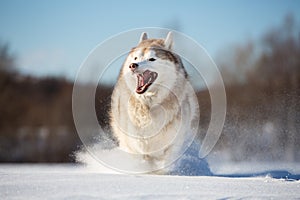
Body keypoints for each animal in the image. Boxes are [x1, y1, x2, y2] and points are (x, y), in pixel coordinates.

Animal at [110, 32, 199, 173]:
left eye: (152, 59)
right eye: (135, 58)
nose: (133, 65)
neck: (150, 106)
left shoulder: (174, 143)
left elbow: (165, 164)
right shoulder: (136, 144)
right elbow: (143, 159)